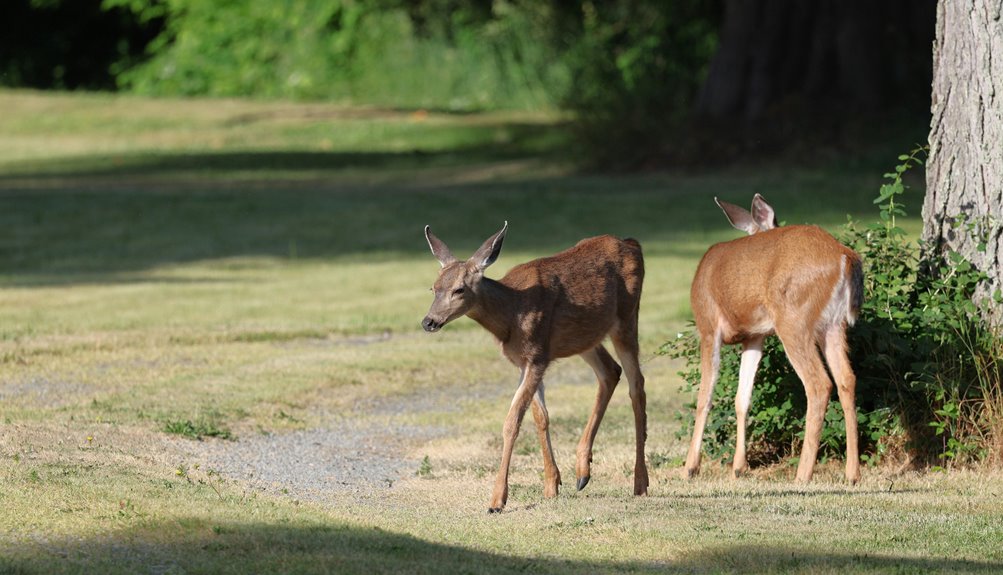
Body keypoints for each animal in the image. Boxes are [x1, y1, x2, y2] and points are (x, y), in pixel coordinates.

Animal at [421, 222, 648, 513]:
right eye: (434, 288)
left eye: (459, 289)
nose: (429, 321)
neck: (510, 315)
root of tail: (633, 244)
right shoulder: (526, 361)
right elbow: (540, 416)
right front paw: (552, 484)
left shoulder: (537, 355)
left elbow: (512, 421)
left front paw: (497, 500)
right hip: (585, 336)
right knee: (611, 372)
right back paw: (582, 472)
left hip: (627, 318)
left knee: (637, 385)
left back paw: (640, 482)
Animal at [684, 194, 863, 484]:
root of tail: (844, 257)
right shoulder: (755, 336)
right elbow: (742, 398)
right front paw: (739, 467)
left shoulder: (708, 326)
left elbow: (705, 397)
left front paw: (691, 467)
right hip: (834, 325)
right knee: (846, 379)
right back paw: (852, 474)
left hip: (793, 318)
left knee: (819, 383)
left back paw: (802, 474)